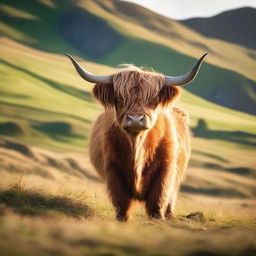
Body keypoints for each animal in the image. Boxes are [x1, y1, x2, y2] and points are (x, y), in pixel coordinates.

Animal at [67, 53, 207, 220]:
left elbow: (157, 199)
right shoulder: (112, 169)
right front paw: (122, 219)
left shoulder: (166, 168)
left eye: (153, 99)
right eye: (119, 98)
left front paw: (157, 218)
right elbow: (122, 201)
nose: (135, 119)